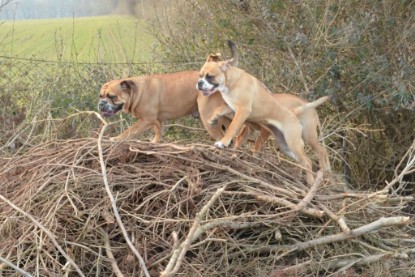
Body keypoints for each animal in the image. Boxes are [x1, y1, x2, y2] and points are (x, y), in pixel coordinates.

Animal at [197, 48, 320, 183]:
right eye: (200, 75)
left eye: (210, 76)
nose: (199, 83)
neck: (232, 81)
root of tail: (294, 115)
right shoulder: (231, 106)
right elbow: (219, 109)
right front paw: (213, 118)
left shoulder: (243, 110)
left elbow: (232, 128)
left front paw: (223, 143)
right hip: (285, 147)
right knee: (304, 161)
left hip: (293, 143)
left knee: (308, 162)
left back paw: (311, 182)